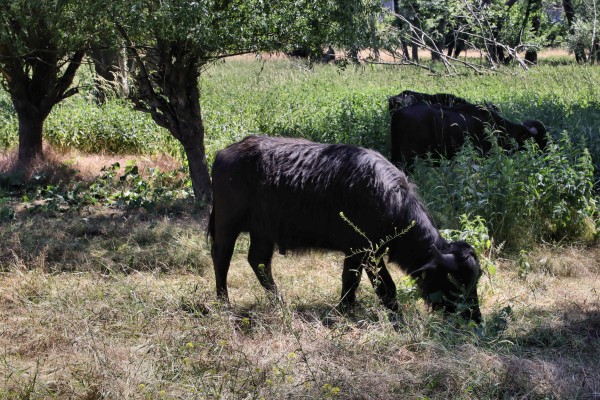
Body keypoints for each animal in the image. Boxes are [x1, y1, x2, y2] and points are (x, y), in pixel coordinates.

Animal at [207, 134, 482, 322]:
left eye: (475, 280)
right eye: (455, 281)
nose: (475, 318)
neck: (387, 200)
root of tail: (223, 154)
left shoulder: (362, 253)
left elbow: (359, 283)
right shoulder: (363, 251)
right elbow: (380, 287)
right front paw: (393, 319)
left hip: (263, 232)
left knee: (259, 262)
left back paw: (280, 302)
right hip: (227, 225)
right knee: (222, 259)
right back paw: (224, 303)